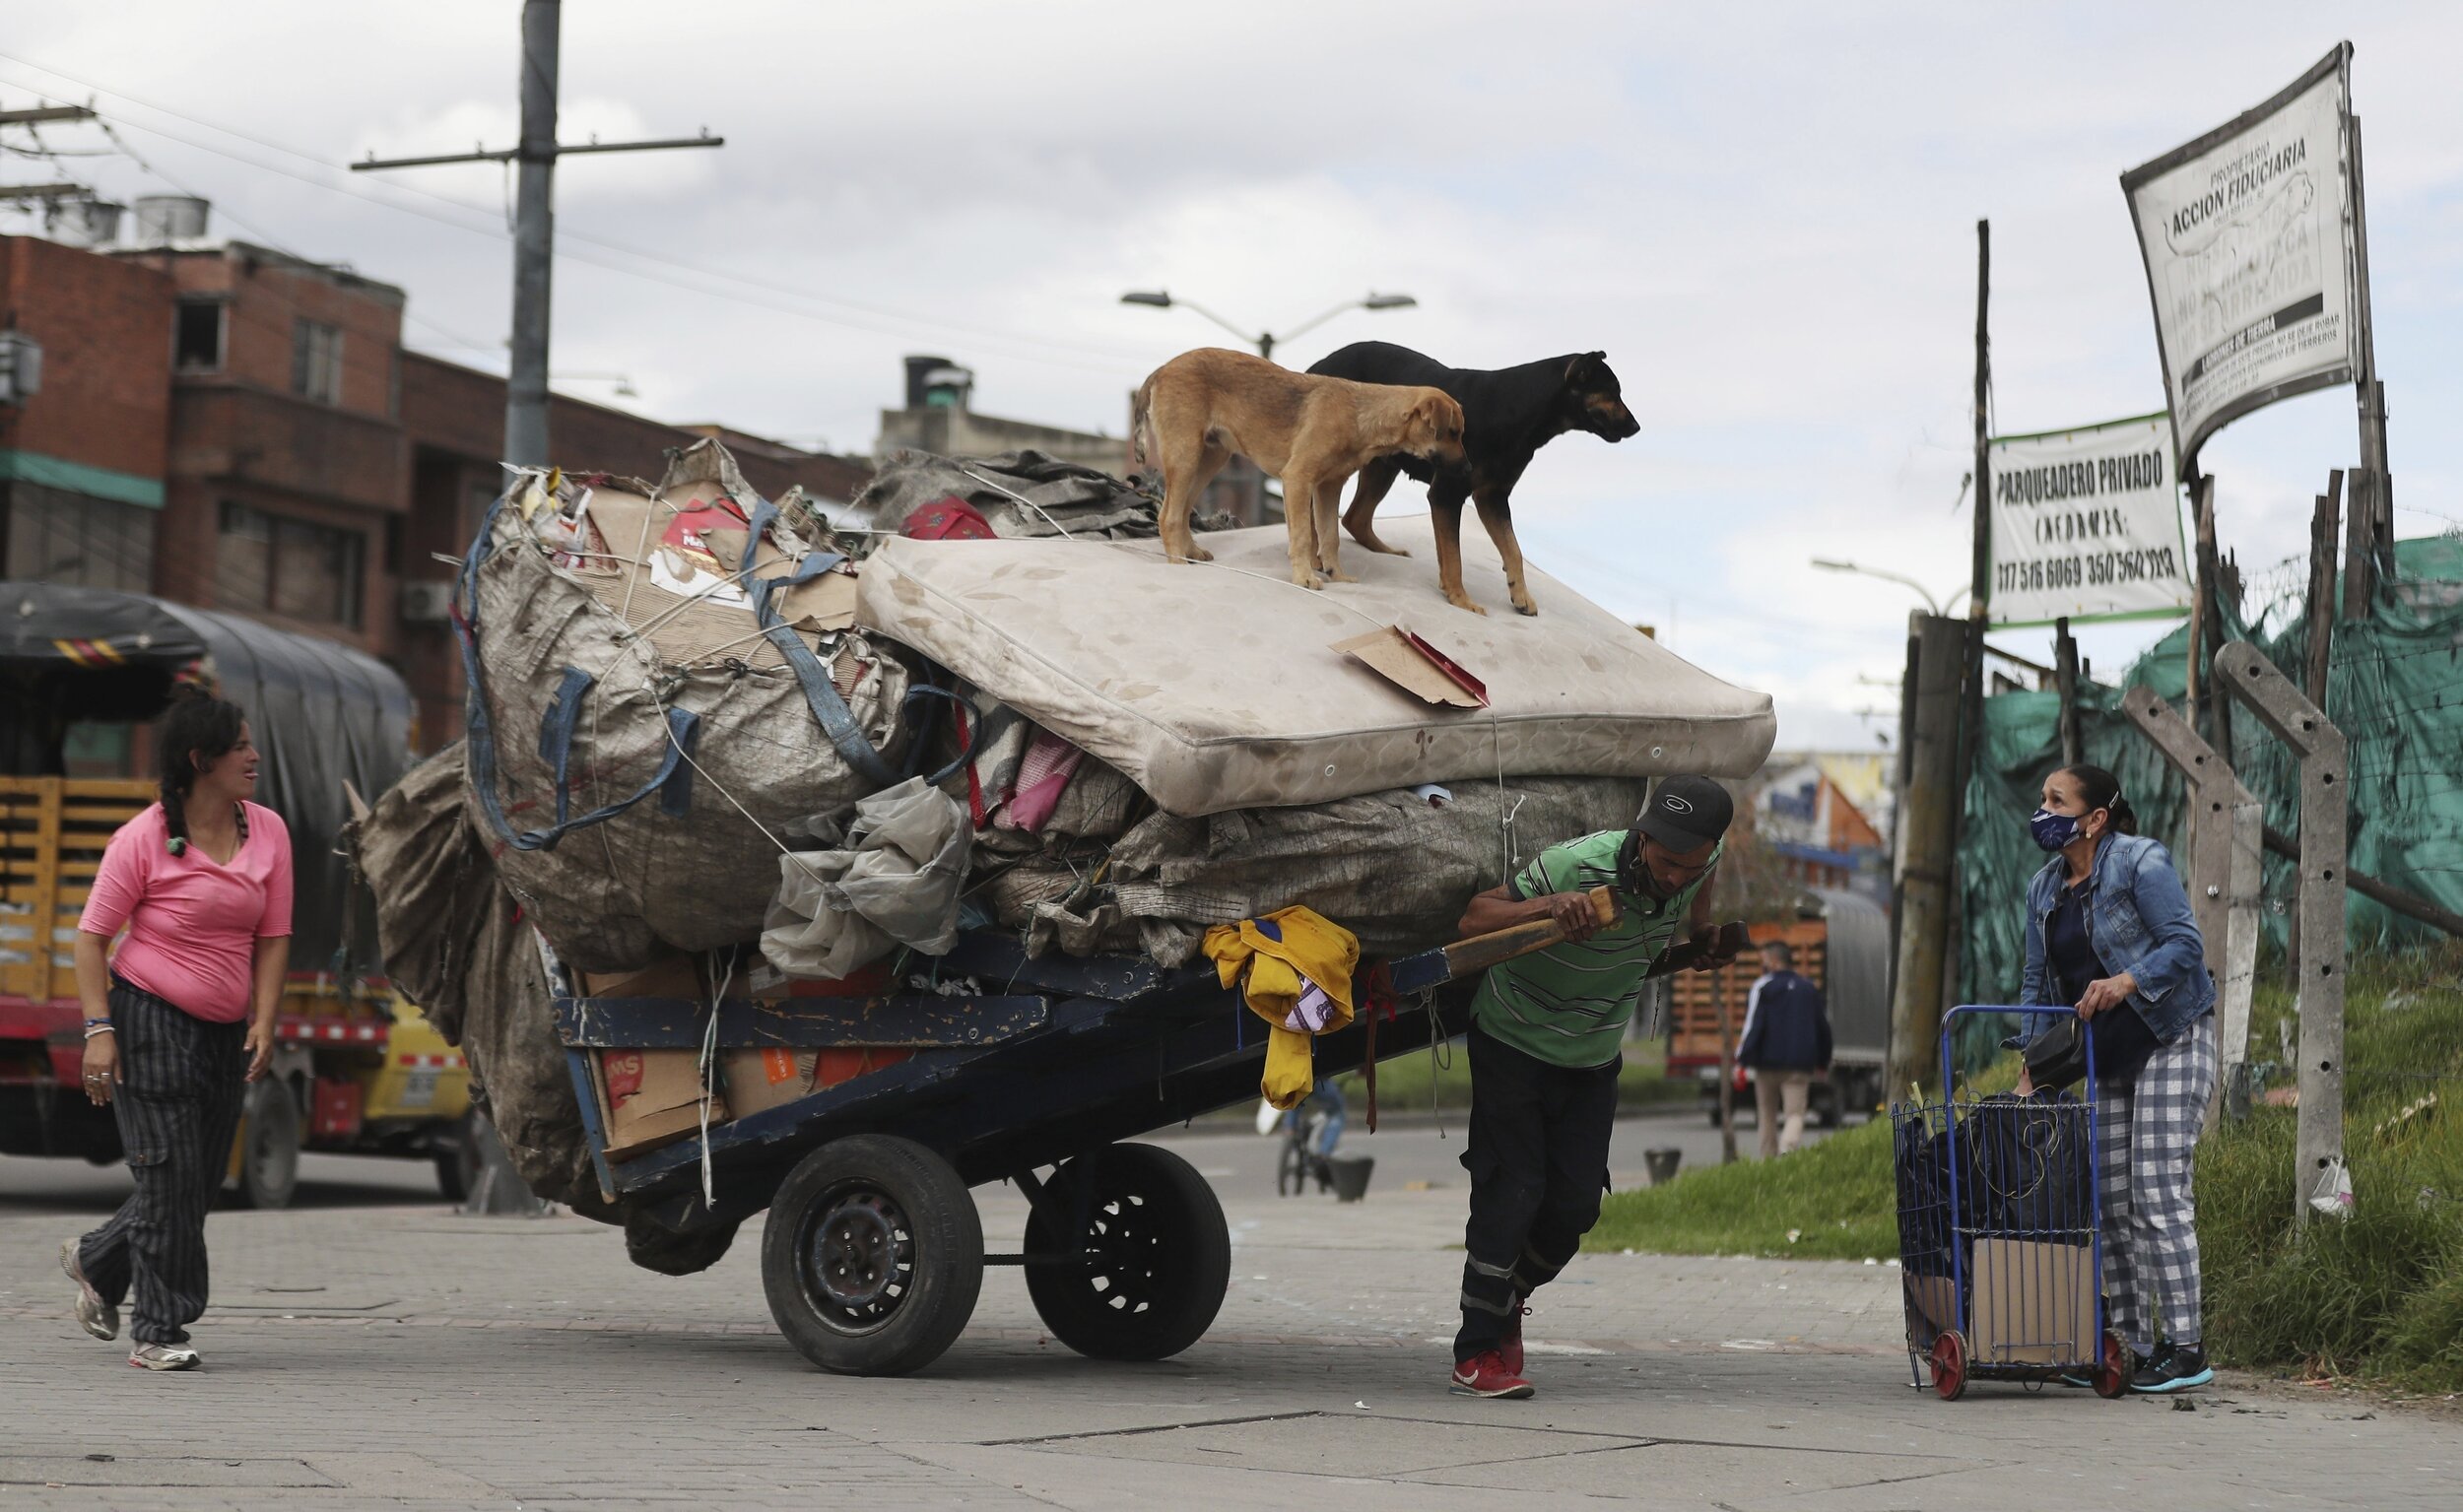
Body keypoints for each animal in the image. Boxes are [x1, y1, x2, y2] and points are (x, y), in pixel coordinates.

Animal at [1128, 350, 1458, 593]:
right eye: (1453, 433)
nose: (1465, 468)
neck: (1362, 415)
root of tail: (1162, 369)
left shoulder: (1328, 487)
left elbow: (1330, 536)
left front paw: (1338, 576)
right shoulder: (1298, 479)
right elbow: (1303, 536)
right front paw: (1304, 577)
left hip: (1210, 458)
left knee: (1182, 511)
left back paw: (1191, 552)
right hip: (1185, 455)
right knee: (1168, 516)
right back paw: (1177, 564)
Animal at [1310, 345, 1635, 616]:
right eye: (1612, 391)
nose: (1637, 427)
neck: (1522, 408)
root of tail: (1320, 364)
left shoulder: (1492, 498)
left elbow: (1513, 549)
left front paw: (1521, 596)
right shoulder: (1448, 494)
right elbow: (1455, 556)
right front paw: (1461, 599)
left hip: (1382, 467)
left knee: (1354, 517)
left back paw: (1384, 550)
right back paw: (1316, 559)